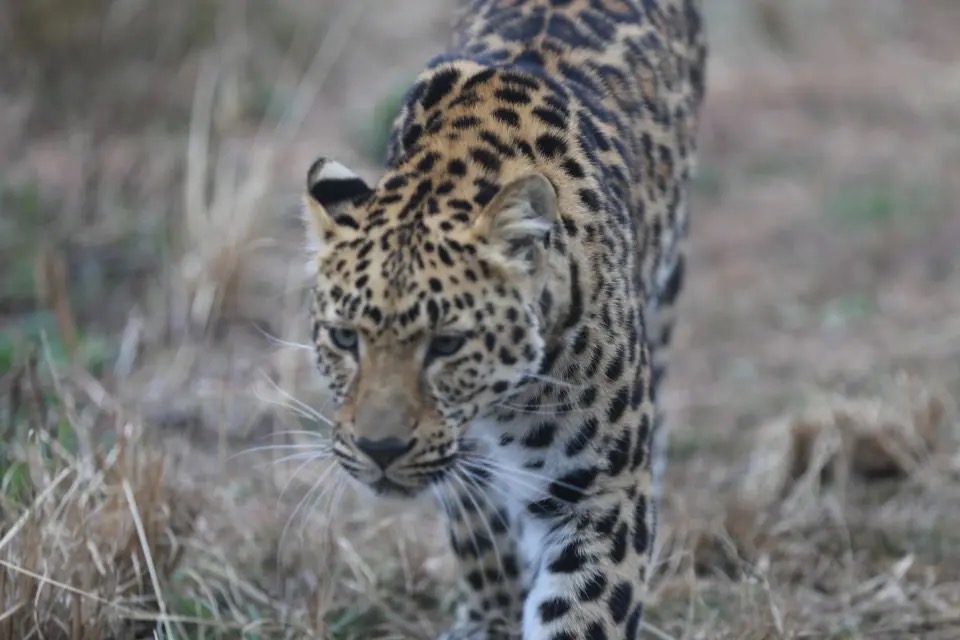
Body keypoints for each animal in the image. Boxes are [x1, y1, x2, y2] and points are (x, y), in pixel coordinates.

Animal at [300, 2, 704, 636]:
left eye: (447, 345)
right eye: (345, 339)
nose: (379, 449)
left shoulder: (603, 493)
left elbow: (583, 612)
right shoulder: (468, 475)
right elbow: (482, 546)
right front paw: (487, 619)